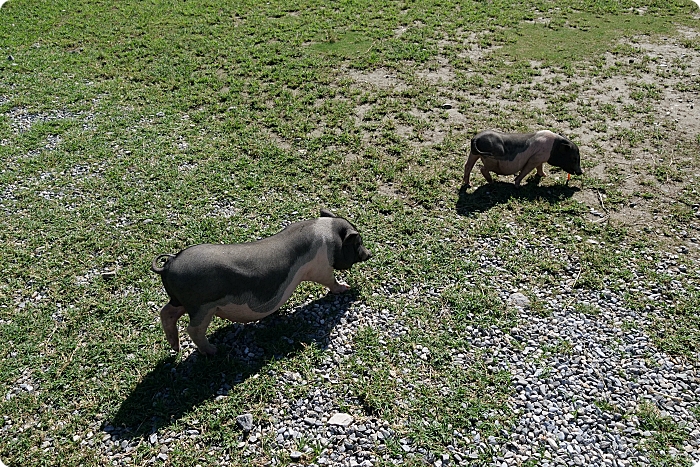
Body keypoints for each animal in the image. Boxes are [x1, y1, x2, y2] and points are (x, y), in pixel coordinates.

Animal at [151, 208, 374, 354]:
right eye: (358, 242)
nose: (369, 254)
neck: (328, 234)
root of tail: (170, 263)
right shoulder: (322, 268)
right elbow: (331, 281)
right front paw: (345, 287)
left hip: (181, 301)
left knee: (166, 312)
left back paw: (175, 347)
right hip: (202, 306)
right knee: (193, 329)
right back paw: (214, 350)